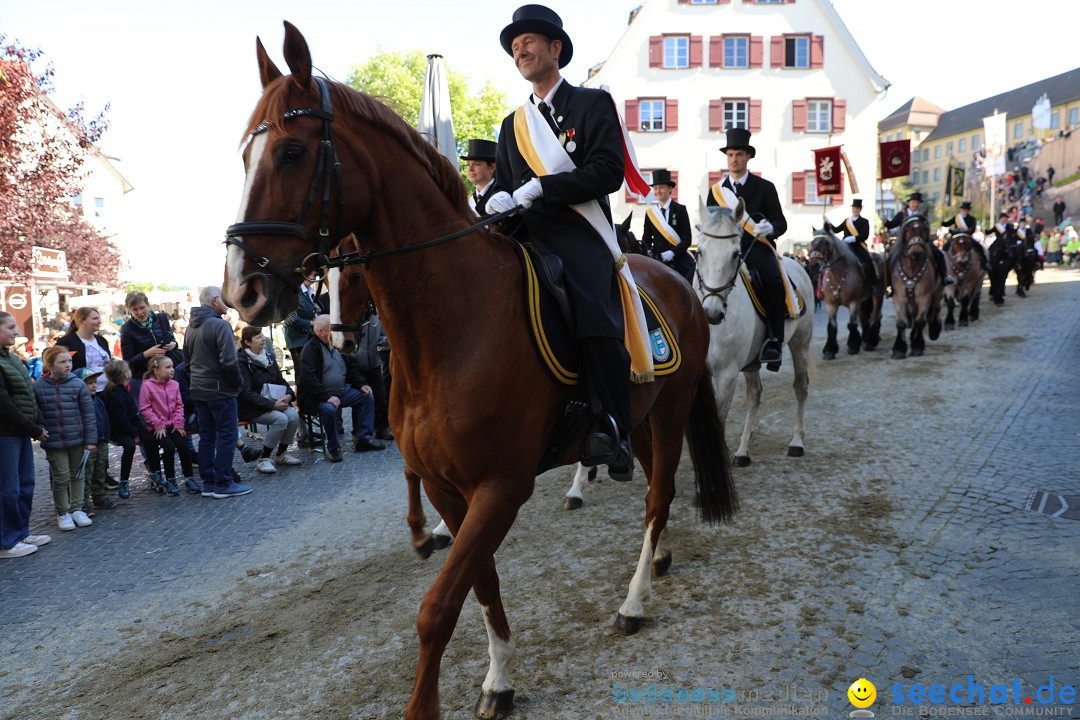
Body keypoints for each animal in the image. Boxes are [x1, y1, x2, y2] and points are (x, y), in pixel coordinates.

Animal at [223, 22, 738, 720]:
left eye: (293, 152)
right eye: (244, 156)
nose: (241, 292)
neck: (448, 331)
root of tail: (681, 281)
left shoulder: (501, 485)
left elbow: (438, 608)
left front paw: (428, 704)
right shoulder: (452, 487)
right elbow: (481, 583)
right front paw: (498, 678)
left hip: (674, 405)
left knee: (659, 497)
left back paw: (633, 601)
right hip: (647, 412)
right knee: (658, 486)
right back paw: (653, 557)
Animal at [695, 197, 812, 468]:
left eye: (735, 254)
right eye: (699, 251)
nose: (711, 313)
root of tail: (795, 263)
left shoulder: (727, 374)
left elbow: (719, 419)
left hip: (800, 343)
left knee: (800, 387)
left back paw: (797, 442)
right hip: (751, 361)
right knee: (754, 395)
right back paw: (743, 450)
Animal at [807, 225, 881, 360]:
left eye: (825, 242)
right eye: (812, 242)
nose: (814, 266)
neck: (838, 275)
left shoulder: (854, 303)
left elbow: (851, 324)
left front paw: (853, 346)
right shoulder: (830, 304)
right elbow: (832, 326)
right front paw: (829, 350)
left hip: (878, 295)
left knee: (875, 316)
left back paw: (870, 342)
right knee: (865, 317)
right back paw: (865, 340)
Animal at [889, 213, 941, 360]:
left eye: (924, 229)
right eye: (906, 230)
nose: (916, 252)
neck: (912, 267)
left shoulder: (924, 298)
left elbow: (920, 321)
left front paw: (917, 346)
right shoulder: (899, 298)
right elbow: (901, 322)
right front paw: (899, 350)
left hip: (936, 294)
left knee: (934, 311)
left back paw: (934, 330)